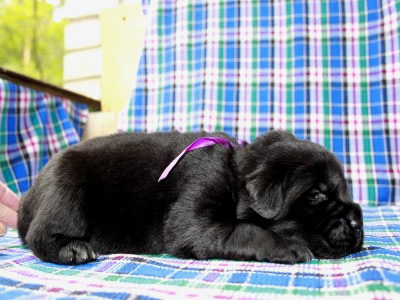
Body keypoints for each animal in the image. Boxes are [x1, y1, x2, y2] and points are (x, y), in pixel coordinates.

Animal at [17, 131, 364, 264]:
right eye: (316, 195)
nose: (358, 224)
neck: (235, 173)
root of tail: (29, 196)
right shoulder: (193, 216)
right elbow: (244, 230)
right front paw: (287, 246)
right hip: (66, 188)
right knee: (39, 234)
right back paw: (72, 249)